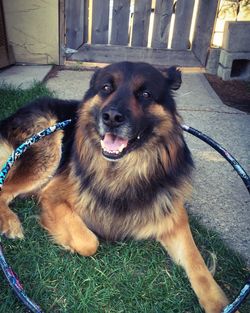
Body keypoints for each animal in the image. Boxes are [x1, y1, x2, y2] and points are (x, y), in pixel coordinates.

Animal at [0, 62, 229, 310]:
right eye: (106, 88)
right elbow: (89, 242)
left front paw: (219, 303)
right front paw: (69, 242)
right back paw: (10, 222)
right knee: (5, 189)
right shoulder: (52, 196)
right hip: (49, 151)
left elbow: (197, 263)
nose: (111, 117)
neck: (123, 169)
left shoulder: (172, 216)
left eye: (145, 94)